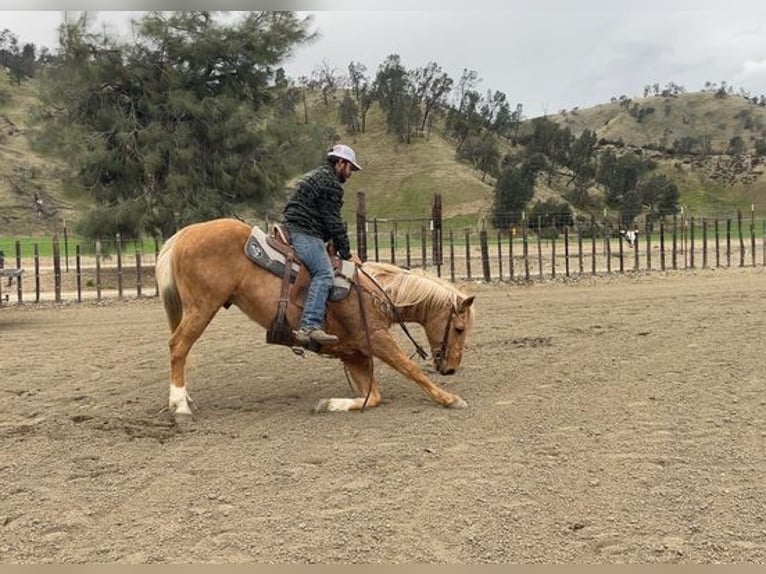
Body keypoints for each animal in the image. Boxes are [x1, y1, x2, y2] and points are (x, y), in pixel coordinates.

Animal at [155, 218, 476, 420]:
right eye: (459, 328)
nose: (451, 369)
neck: (376, 292)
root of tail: (183, 234)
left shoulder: (355, 354)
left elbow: (373, 396)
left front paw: (329, 404)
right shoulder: (378, 340)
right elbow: (411, 369)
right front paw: (449, 399)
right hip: (201, 308)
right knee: (178, 347)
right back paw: (180, 406)